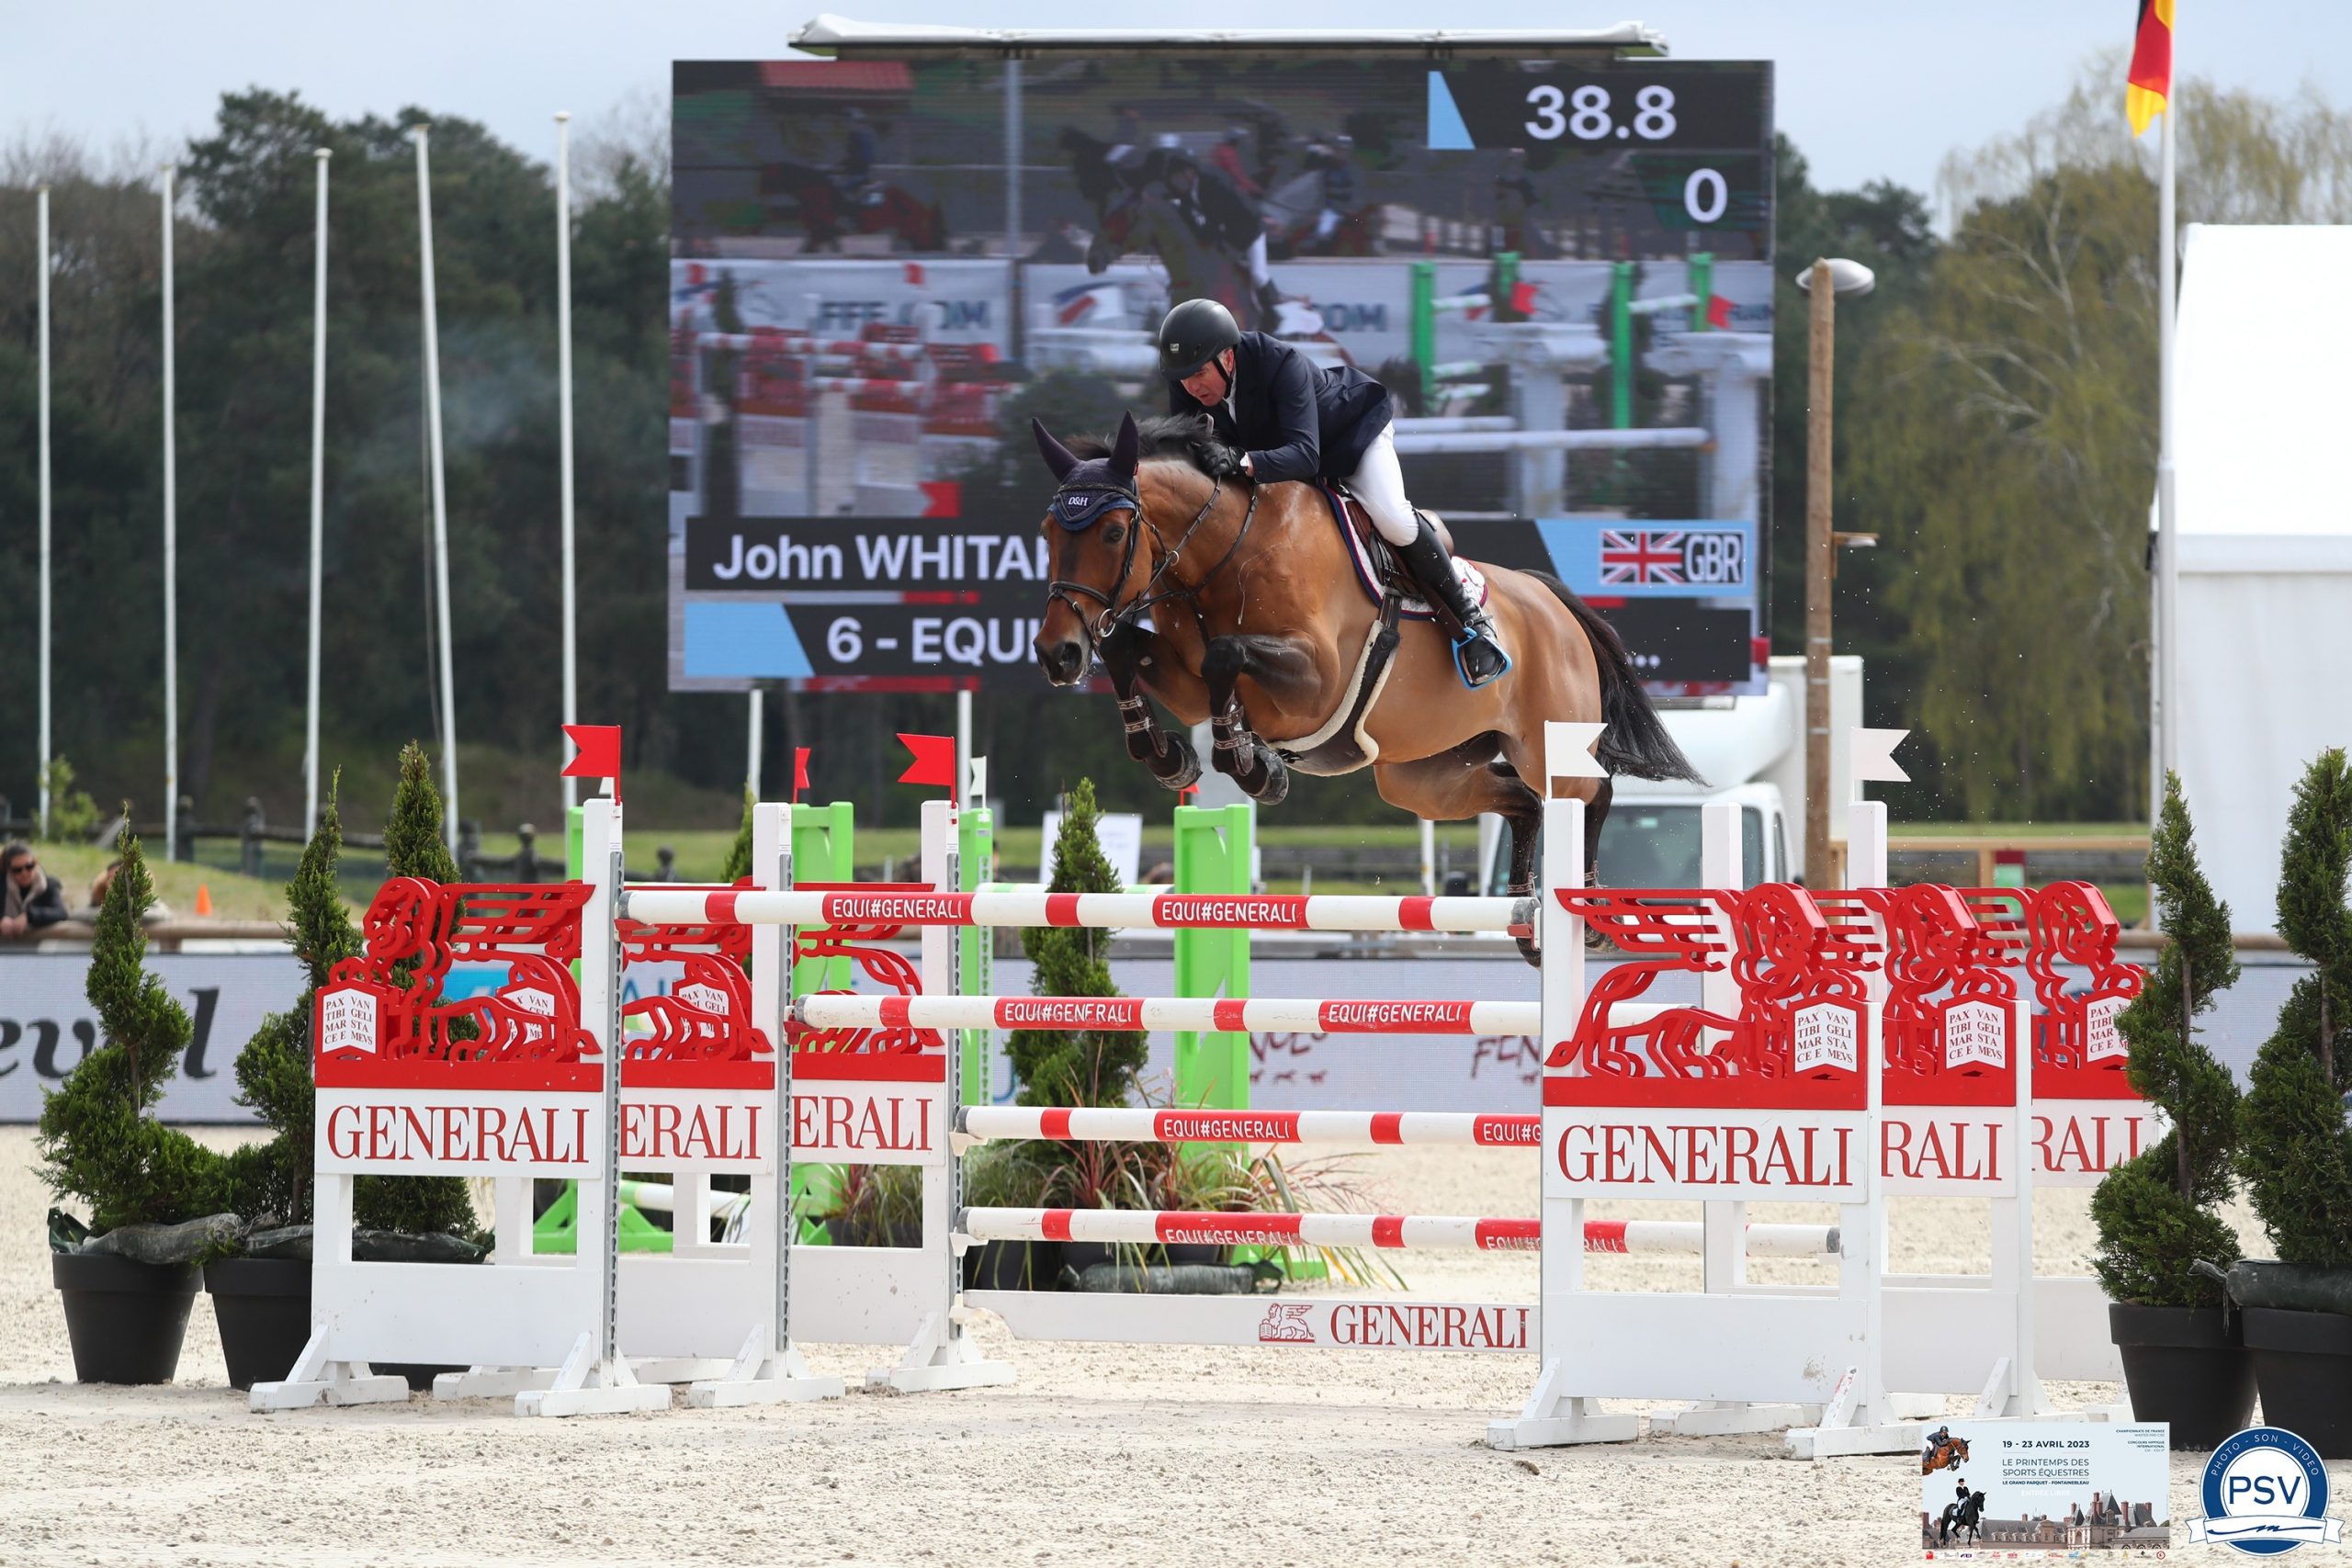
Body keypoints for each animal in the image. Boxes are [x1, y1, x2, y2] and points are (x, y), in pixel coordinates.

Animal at [1025, 411, 1693, 964]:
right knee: (1524, 803)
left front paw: (1250, 764)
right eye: (1048, 532)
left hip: (1547, 742)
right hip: (1424, 776)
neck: (1223, 552)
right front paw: (1172, 756)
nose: (1058, 654)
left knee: (1592, 791)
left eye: (1113, 534)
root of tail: (1554, 603)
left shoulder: (1316, 681)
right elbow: (1129, 650)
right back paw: (1526, 925)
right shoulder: (1188, 685)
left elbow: (1225, 654)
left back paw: (1592, 911)